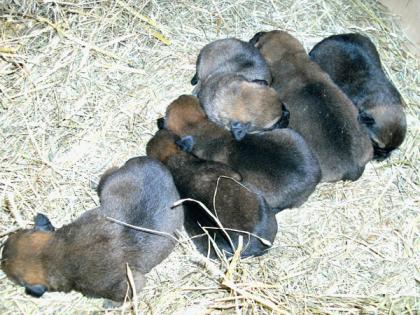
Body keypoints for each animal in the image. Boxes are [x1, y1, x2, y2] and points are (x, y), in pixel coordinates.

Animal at [0, 158, 184, 304]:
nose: (2, 254)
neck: (55, 253)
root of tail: (153, 162)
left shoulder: (128, 283)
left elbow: (129, 292)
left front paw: (110, 304)